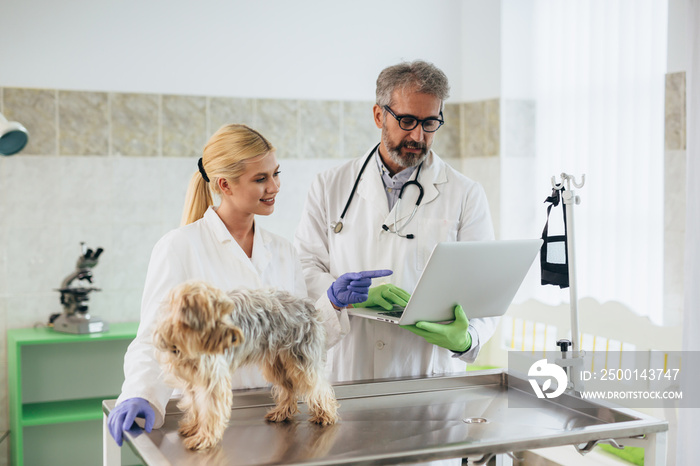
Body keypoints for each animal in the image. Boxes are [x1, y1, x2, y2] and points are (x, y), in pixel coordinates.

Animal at [153, 280, 340, 452]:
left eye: (227, 313)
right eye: (216, 315)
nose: (236, 337)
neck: (187, 342)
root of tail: (308, 305)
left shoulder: (213, 379)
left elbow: (211, 410)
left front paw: (204, 437)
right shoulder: (192, 380)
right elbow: (196, 406)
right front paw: (193, 427)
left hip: (302, 360)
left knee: (318, 387)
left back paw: (325, 414)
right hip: (277, 364)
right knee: (289, 389)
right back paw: (283, 411)